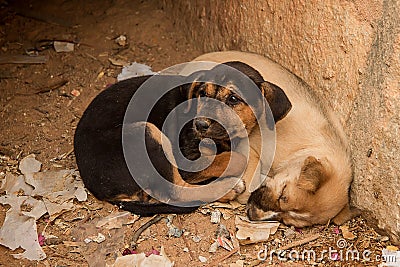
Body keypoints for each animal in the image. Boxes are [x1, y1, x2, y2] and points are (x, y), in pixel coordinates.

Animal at [75, 61, 292, 217]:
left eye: (233, 99)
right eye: (202, 93)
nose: (199, 124)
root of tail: (96, 187)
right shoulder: (186, 160)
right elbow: (235, 158)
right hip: (144, 133)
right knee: (177, 192)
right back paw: (229, 188)